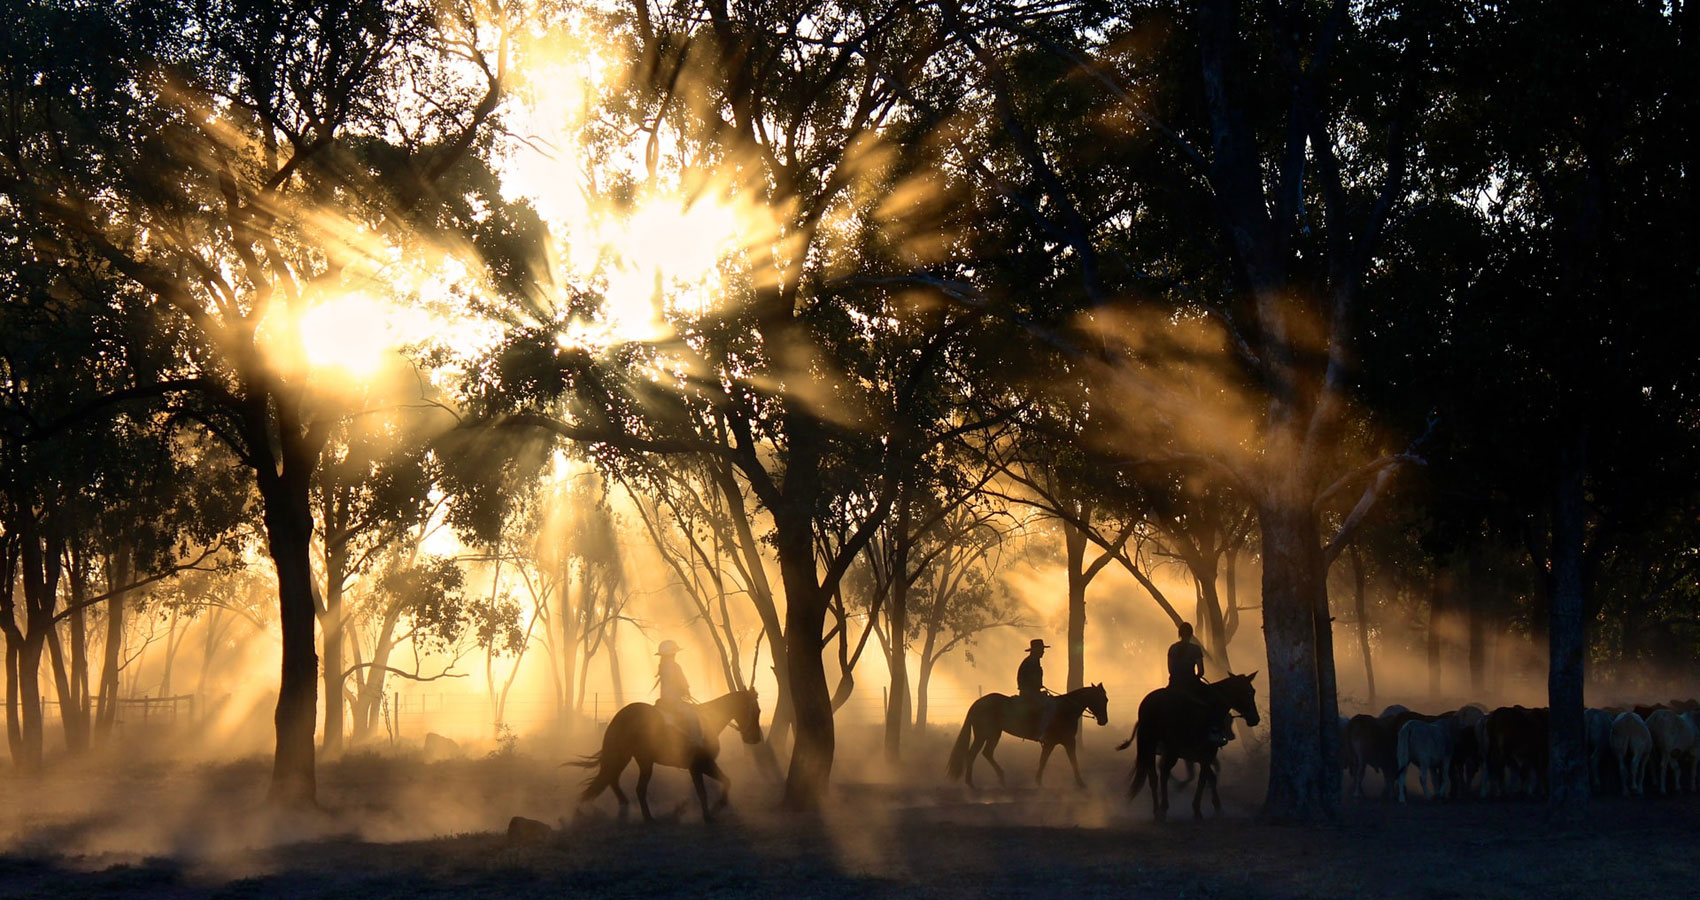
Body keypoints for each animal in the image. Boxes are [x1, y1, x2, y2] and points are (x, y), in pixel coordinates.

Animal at [567, 687, 761, 820]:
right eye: (757, 711)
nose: (755, 738)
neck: (708, 720)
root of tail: (620, 717)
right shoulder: (701, 765)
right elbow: (707, 789)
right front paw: (712, 812)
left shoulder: (697, 767)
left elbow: (718, 784)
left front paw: (714, 809)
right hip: (643, 762)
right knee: (638, 788)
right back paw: (648, 818)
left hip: (625, 757)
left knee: (612, 779)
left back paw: (625, 806)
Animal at [945, 680, 1115, 786]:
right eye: (1104, 699)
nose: (1104, 720)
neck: (1065, 709)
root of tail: (977, 703)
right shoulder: (1067, 741)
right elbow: (1073, 761)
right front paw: (1081, 783)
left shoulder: (1052, 743)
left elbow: (1043, 761)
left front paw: (1038, 781)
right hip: (984, 735)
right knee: (973, 754)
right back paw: (972, 783)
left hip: (993, 734)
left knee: (985, 753)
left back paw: (999, 778)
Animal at [1122, 666, 1258, 820]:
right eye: (1249, 692)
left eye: (1253, 691)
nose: (1255, 719)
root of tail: (1154, 703)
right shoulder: (1208, 752)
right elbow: (1203, 778)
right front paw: (1198, 809)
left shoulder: (1199, 755)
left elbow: (1210, 777)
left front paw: (1216, 806)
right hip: (1172, 749)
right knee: (1164, 772)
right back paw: (1163, 808)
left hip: (1150, 746)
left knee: (1153, 776)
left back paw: (1157, 810)